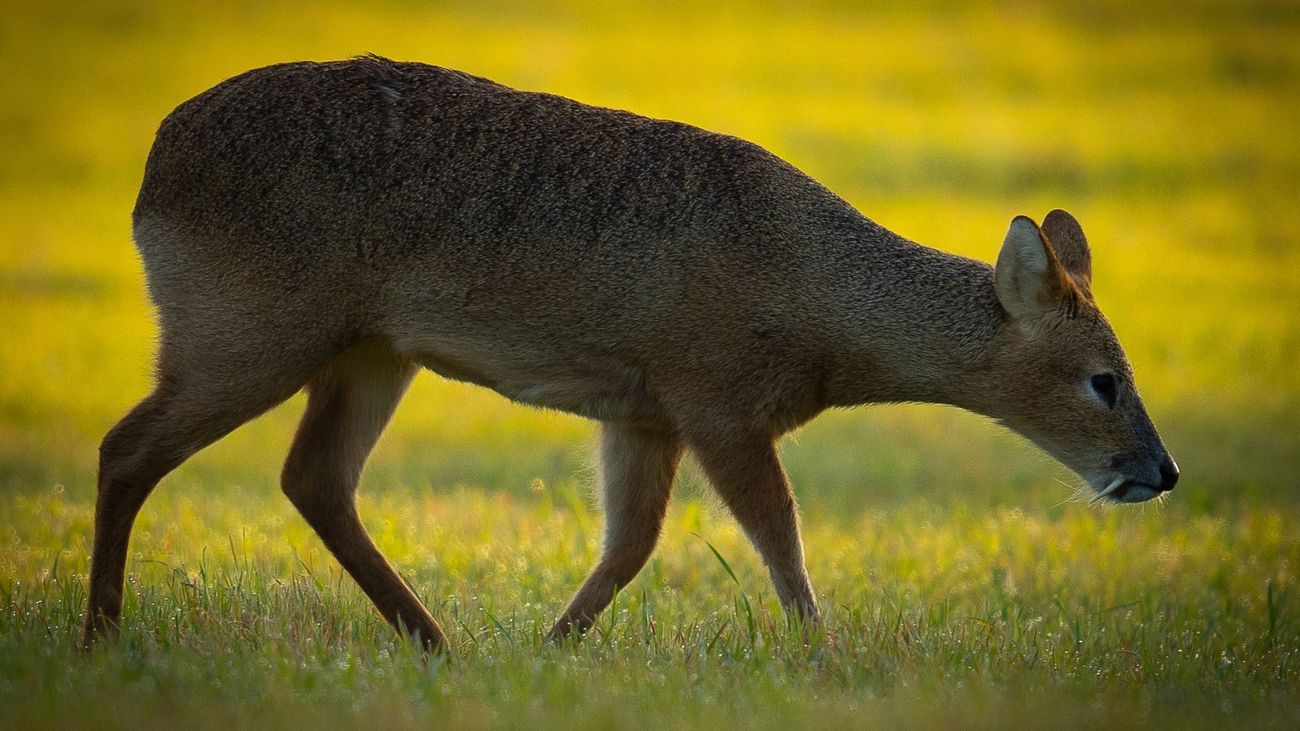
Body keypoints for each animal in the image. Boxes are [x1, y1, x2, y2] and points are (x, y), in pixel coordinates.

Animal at [83, 55, 1179, 653]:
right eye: (1103, 379)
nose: (1161, 471)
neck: (819, 300)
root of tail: (149, 174)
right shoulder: (716, 394)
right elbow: (780, 533)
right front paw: (825, 653)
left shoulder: (644, 407)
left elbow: (630, 542)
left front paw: (552, 646)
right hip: (245, 328)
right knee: (127, 447)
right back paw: (101, 635)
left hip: (367, 348)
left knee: (313, 477)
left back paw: (438, 642)